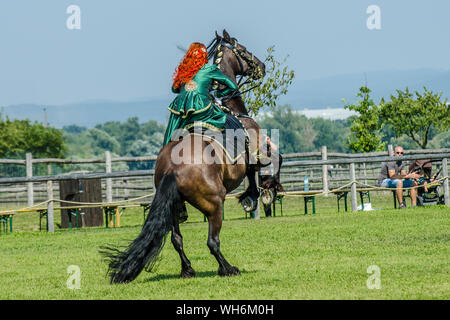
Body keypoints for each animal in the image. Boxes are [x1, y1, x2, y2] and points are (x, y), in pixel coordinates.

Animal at [101, 29, 270, 282]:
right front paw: (250, 199)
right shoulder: (257, 153)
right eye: (243, 50)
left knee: (176, 239)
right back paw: (227, 269)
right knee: (212, 241)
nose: (261, 66)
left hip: (172, 208)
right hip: (214, 204)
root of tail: (173, 169)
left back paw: (188, 270)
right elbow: (254, 174)